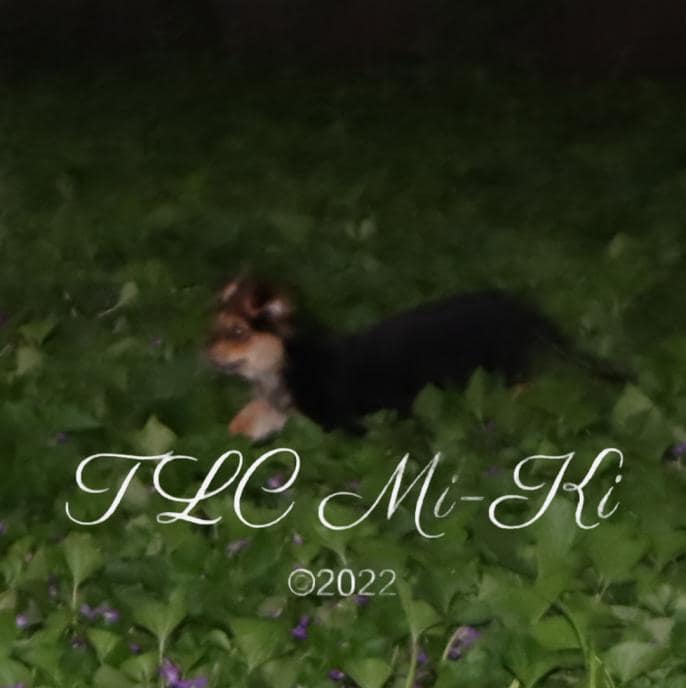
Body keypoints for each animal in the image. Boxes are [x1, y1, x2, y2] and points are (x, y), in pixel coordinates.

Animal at [206, 277, 627, 441]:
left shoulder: (338, 422)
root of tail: (525, 310)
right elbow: (242, 421)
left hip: (507, 370)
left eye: (238, 333)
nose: (205, 354)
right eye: (215, 330)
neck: (288, 360)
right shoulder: (277, 407)